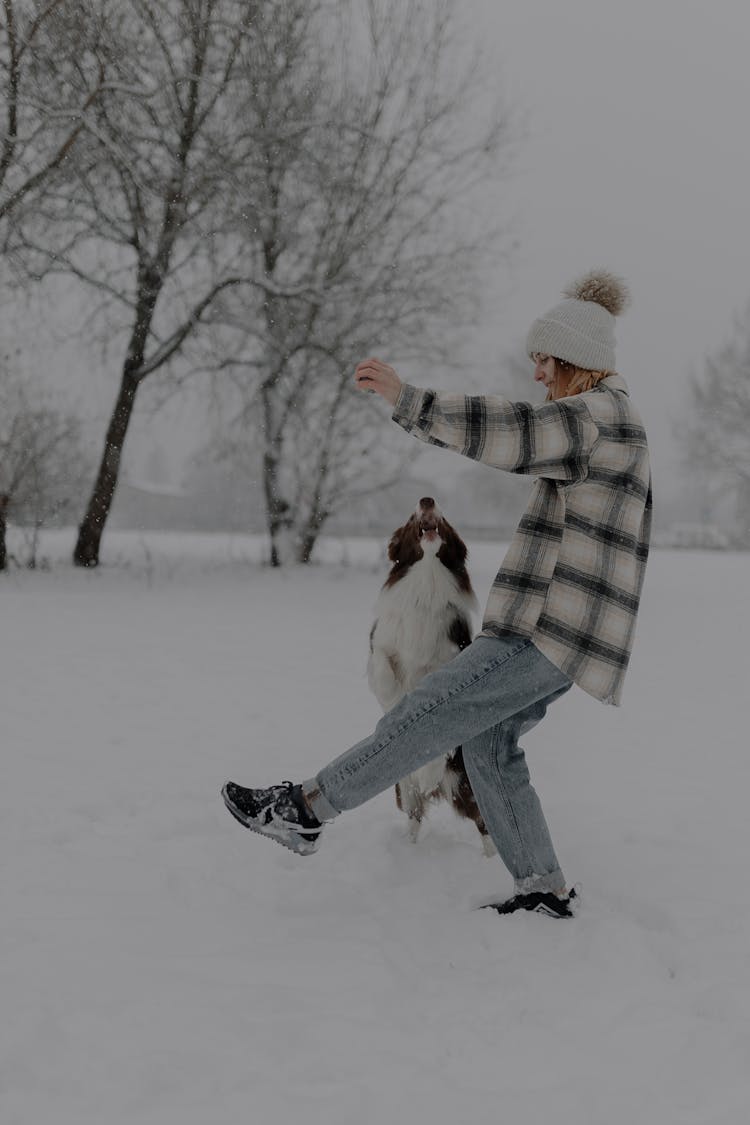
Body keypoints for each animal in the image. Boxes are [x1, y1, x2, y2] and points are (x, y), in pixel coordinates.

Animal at [368, 497, 494, 855]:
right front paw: (394, 705)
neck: (427, 583)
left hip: (466, 786)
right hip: (404, 788)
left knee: (484, 825)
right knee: (414, 817)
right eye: (412, 518)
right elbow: (383, 669)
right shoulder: (380, 642)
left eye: (445, 518)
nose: (427, 500)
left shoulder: (451, 661)